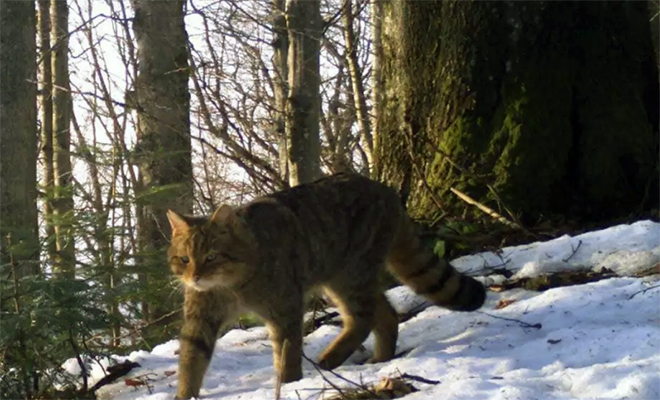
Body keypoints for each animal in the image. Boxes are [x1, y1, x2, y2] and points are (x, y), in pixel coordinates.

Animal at [166, 173, 484, 398]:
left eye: (211, 256)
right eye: (184, 259)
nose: (194, 277)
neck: (230, 287)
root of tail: (386, 190)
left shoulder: (286, 307)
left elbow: (287, 352)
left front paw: (288, 383)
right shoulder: (200, 317)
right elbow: (191, 360)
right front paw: (185, 395)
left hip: (349, 276)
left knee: (363, 318)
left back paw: (330, 358)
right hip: (345, 280)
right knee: (386, 314)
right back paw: (379, 359)